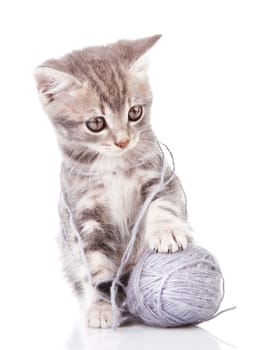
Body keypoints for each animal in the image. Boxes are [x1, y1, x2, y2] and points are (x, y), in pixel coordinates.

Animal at [33, 35, 192, 328]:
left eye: (135, 112)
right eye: (96, 123)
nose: (123, 141)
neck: (113, 168)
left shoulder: (161, 177)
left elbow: (162, 203)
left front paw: (166, 231)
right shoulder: (83, 216)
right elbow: (94, 266)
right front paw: (100, 307)